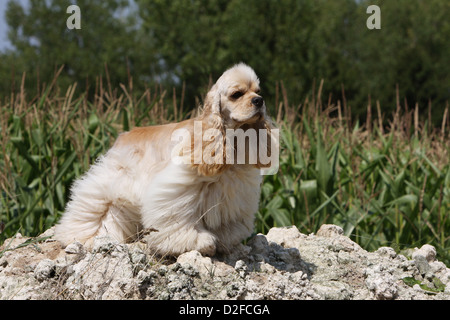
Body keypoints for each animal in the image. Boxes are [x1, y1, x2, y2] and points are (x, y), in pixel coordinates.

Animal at [54, 63, 276, 256]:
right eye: (236, 94)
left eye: (258, 91)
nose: (259, 101)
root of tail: (124, 136)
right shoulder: (181, 186)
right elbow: (180, 219)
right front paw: (199, 242)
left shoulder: (234, 192)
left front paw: (225, 239)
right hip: (110, 184)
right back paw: (86, 238)